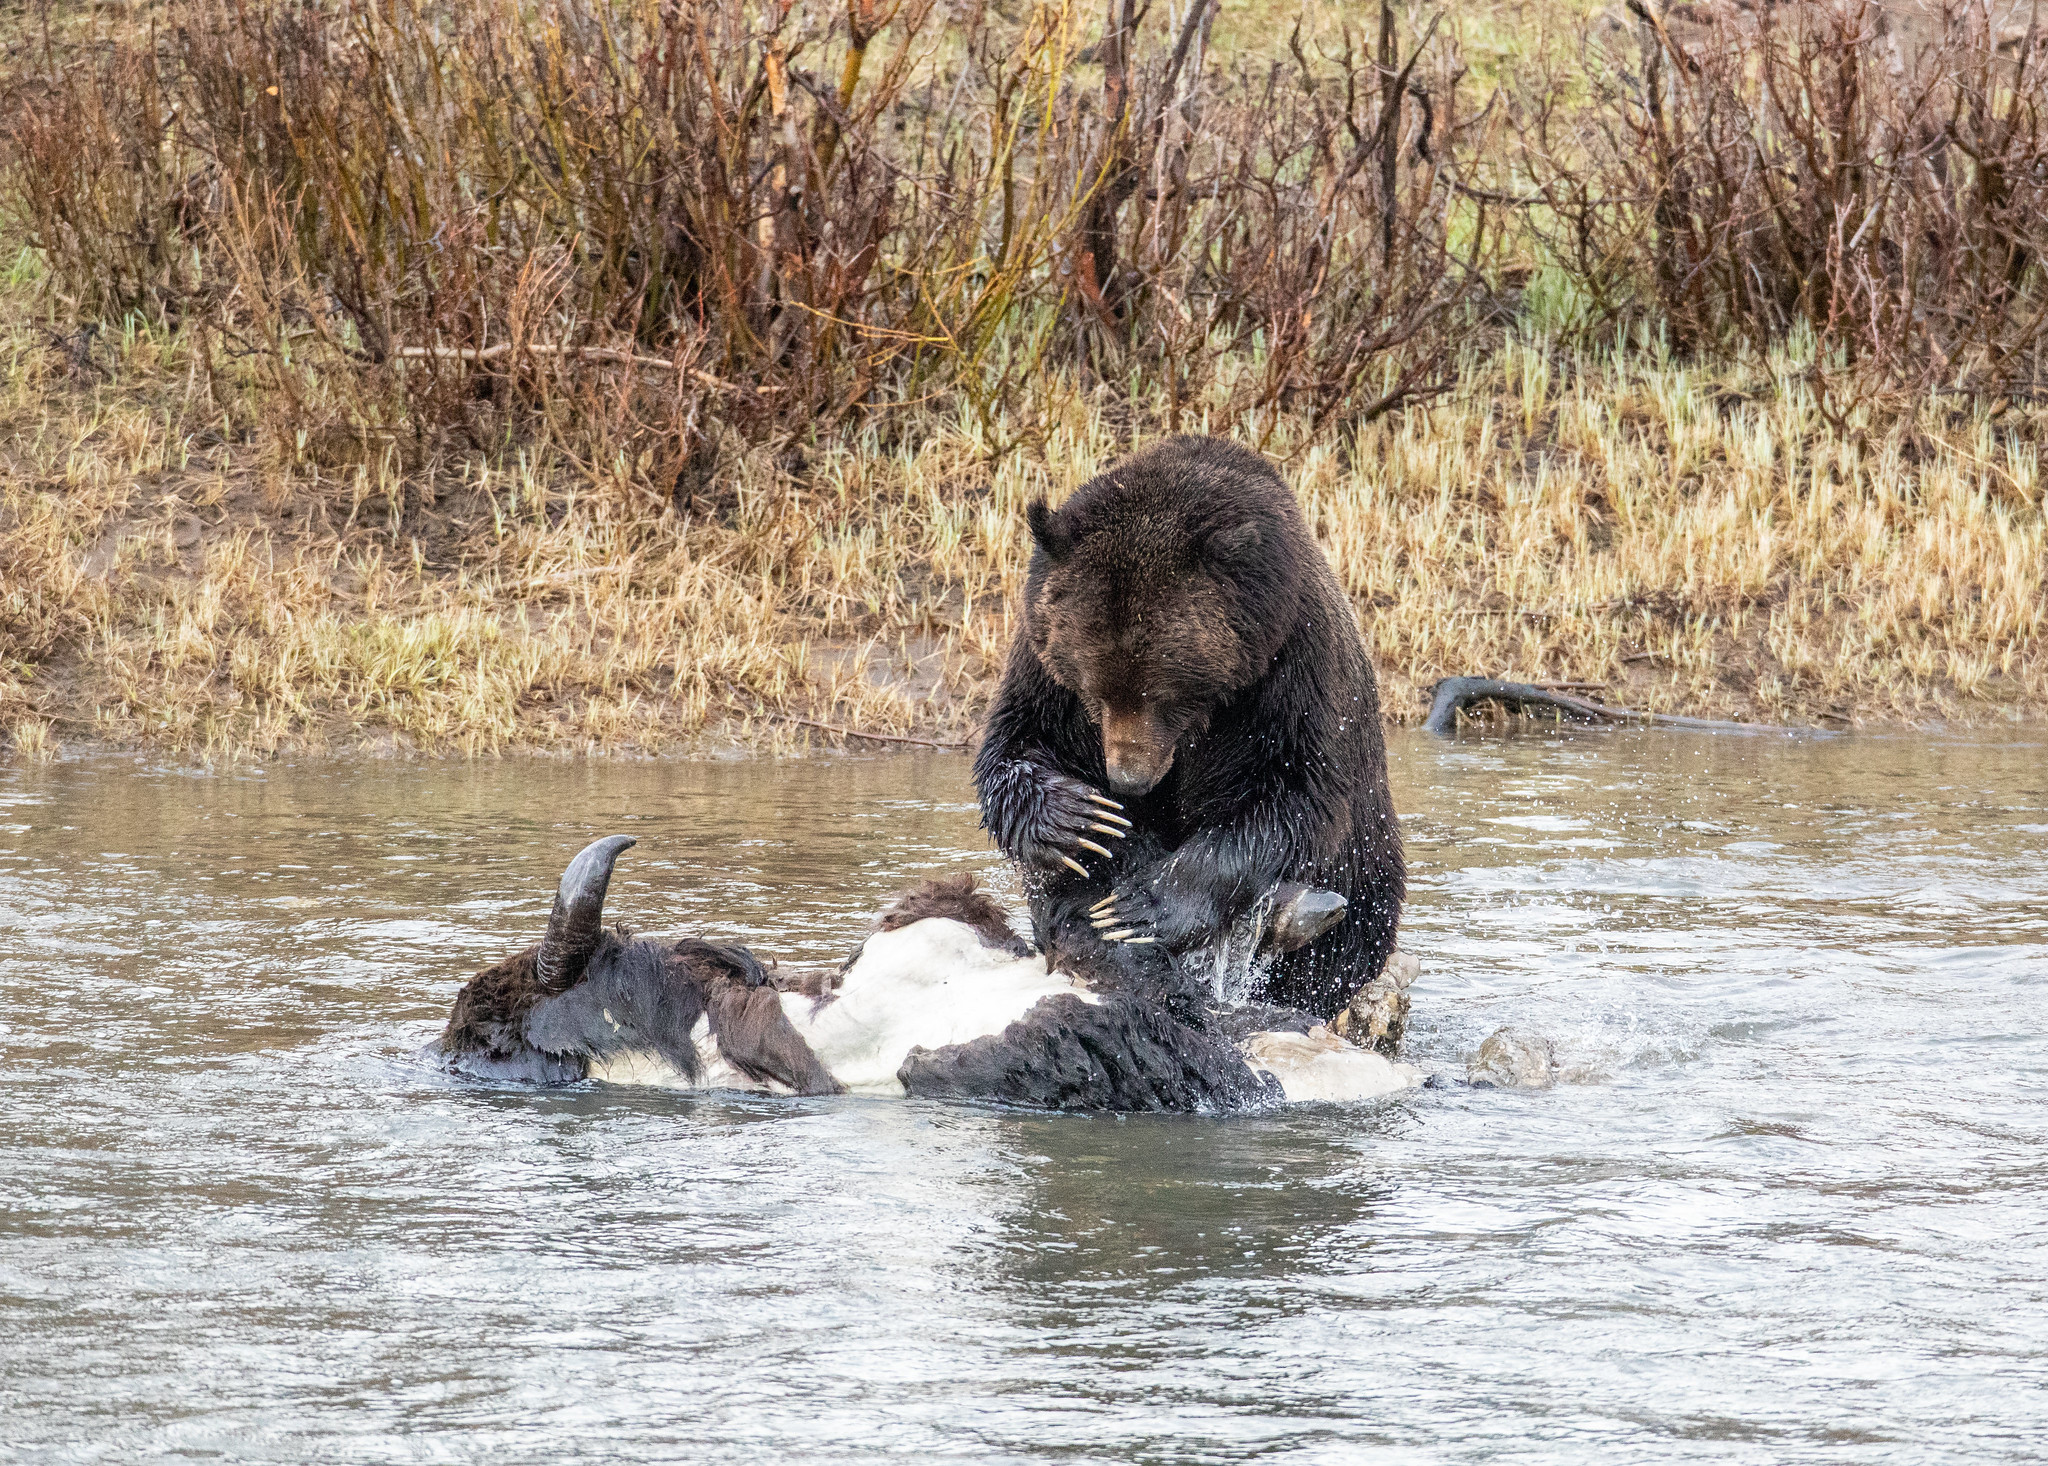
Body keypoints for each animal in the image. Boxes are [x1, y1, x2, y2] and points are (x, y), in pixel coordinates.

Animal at [973, 434, 1405, 1021]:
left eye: (1164, 696)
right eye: (1094, 691)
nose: (1128, 781)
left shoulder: (1291, 669)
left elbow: (1290, 796)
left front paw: (1141, 907)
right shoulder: (1040, 667)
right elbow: (1019, 745)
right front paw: (1084, 821)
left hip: (1367, 864)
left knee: (1339, 948)